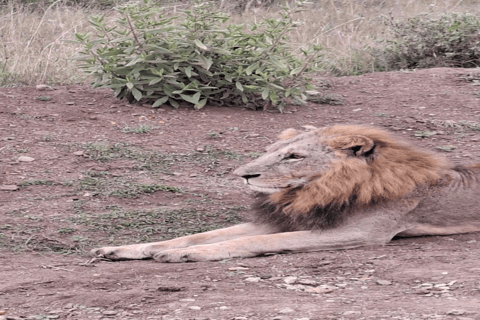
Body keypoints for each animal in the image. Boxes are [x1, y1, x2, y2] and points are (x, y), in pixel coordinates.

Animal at [91, 125, 480, 262]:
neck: (311, 191)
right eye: (271, 151)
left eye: (294, 156)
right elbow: (197, 235)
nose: (244, 175)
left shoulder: (361, 233)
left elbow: (249, 241)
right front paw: (126, 248)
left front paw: (188, 255)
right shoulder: (281, 219)